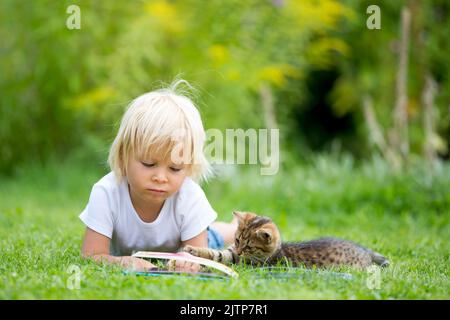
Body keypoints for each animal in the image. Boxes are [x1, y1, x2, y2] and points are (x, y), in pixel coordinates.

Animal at [181, 211, 388, 268]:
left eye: (249, 247)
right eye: (238, 240)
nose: (239, 250)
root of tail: (364, 250)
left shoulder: (243, 262)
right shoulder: (230, 253)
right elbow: (214, 253)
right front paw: (192, 250)